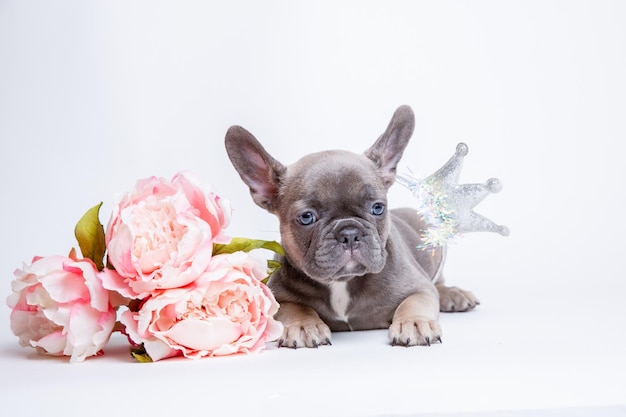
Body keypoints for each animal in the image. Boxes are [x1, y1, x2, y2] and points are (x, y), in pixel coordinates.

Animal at [224, 105, 478, 348]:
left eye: (377, 208)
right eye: (306, 217)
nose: (349, 233)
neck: (342, 283)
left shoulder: (419, 287)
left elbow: (414, 302)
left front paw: (414, 324)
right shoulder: (277, 297)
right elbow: (294, 308)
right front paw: (303, 326)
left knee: (439, 282)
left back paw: (453, 295)